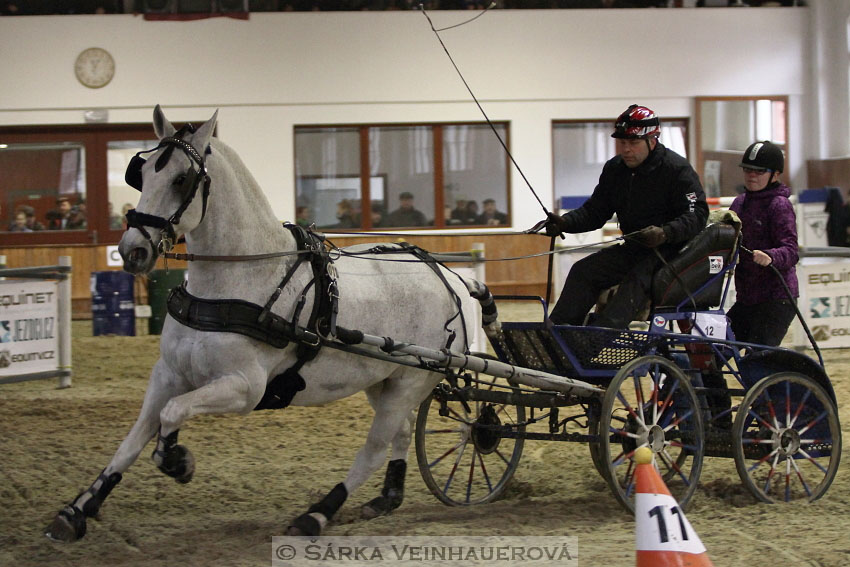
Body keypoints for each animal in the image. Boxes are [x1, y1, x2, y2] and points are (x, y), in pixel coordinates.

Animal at [46, 107, 496, 544]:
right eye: (141, 173)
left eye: (181, 178)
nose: (132, 250)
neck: (237, 282)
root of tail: (452, 278)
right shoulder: (169, 375)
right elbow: (133, 439)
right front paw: (77, 510)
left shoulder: (245, 387)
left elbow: (172, 415)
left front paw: (177, 460)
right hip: (384, 380)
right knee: (400, 433)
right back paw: (387, 497)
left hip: (409, 382)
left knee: (375, 447)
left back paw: (316, 515)